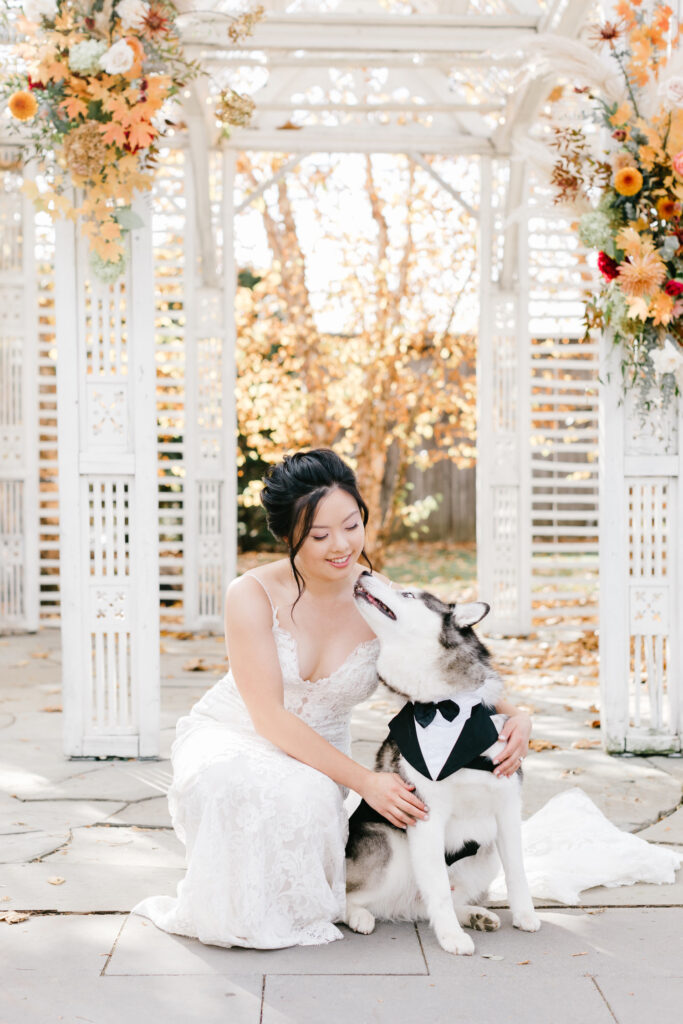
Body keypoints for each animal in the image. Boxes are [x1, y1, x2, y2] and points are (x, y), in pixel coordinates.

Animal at [344, 573, 540, 954]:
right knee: (341, 896)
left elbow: (518, 870)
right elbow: (436, 886)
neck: (444, 707)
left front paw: (525, 913)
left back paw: (474, 914)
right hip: (390, 848)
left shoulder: (508, 809)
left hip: (484, 856)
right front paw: (450, 937)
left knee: (439, 899)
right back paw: (358, 915)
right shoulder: (426, 817)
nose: (364, 573)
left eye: (407, 594)